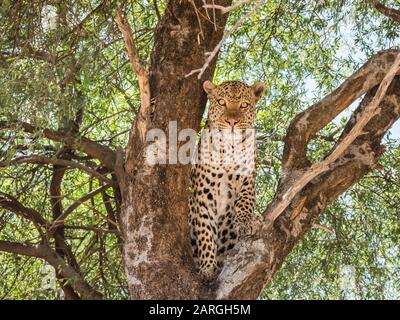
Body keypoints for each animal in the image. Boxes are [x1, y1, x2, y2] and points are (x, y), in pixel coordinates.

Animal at [188, 79, 266, 280]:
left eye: (244, 105)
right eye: (222, 102)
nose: (232, 122)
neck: (230, 148)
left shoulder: (247, 178)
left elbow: (245, 201)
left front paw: (245, 222)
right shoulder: (204, 193)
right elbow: (206, 231)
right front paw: (207, 267)